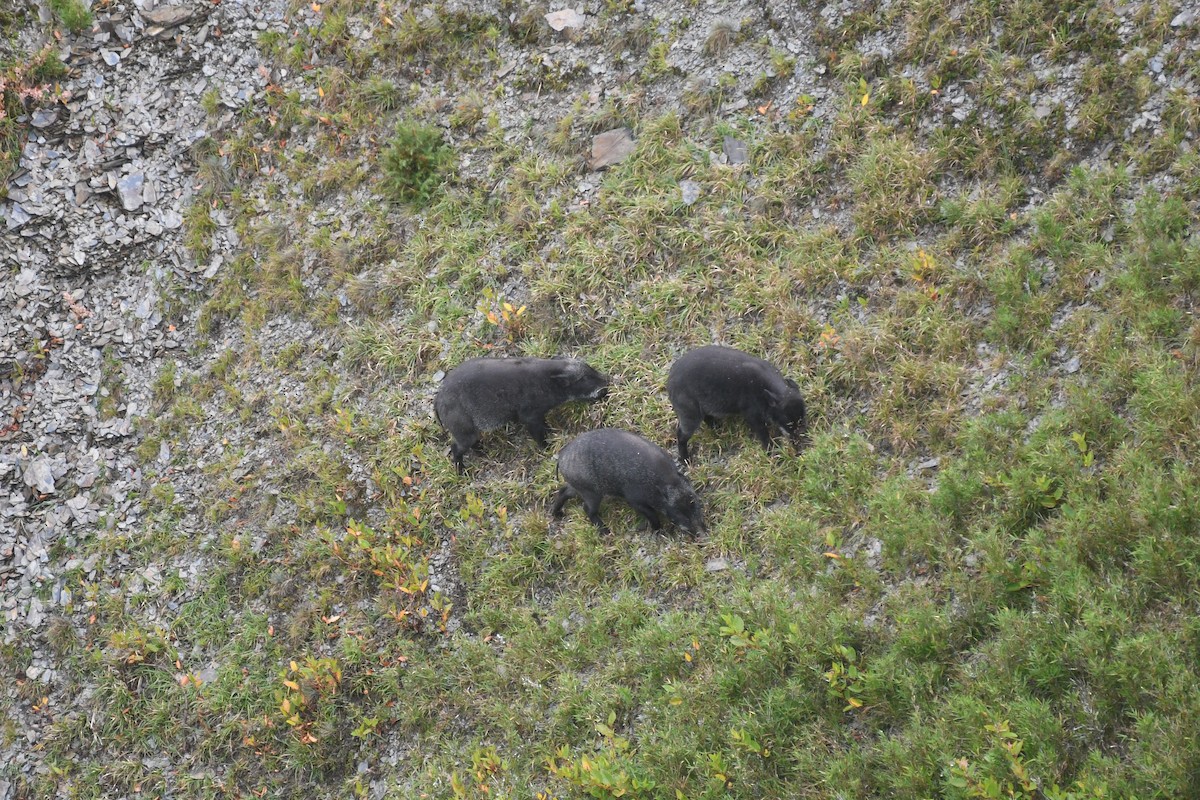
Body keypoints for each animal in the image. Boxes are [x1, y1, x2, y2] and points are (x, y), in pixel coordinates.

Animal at [434, 356, 610, 473]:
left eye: (590, 368)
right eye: (584, 378)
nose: (607, 382)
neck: (546, 382)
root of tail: (438, 400)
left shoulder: (539, 416)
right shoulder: (530, 417)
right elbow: (539, 436)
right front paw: (547, 449)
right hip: (464, 431)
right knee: (456, 448)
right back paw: (461, 471)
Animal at [550, 428, 708, 535]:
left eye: (694, 502)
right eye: (679, 514)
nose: (702, 534)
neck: (665, 482)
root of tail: (561, 458)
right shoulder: (634, 500)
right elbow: (652, 514)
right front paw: (657, 530)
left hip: (579, 487)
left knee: (563, 491)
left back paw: (557, 514)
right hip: (591, 491)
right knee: (587, 509)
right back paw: (605, 531)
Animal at [666, 345, 807, 461]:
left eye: (802, 420)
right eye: (789, 424)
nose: (800, 446)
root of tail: (669, 381)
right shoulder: (752, 416)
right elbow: (764, 435)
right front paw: (770, 451)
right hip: (690, 415)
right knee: (681, 435)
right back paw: (685, 459)